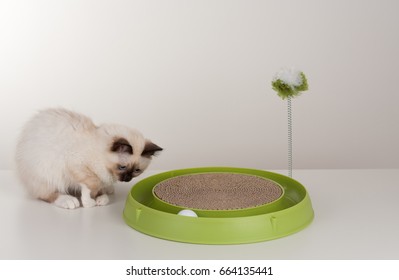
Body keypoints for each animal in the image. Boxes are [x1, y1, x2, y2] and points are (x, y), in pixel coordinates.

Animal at [15, 108, 162, 209]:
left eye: (137, 171)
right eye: (122, 167)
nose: (127, 179)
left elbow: (97, 187)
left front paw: (100, 198)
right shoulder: (78, 166)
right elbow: (91, 185)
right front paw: (89, 202)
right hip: (47, 173)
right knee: (46, 194)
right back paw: (69, 201)